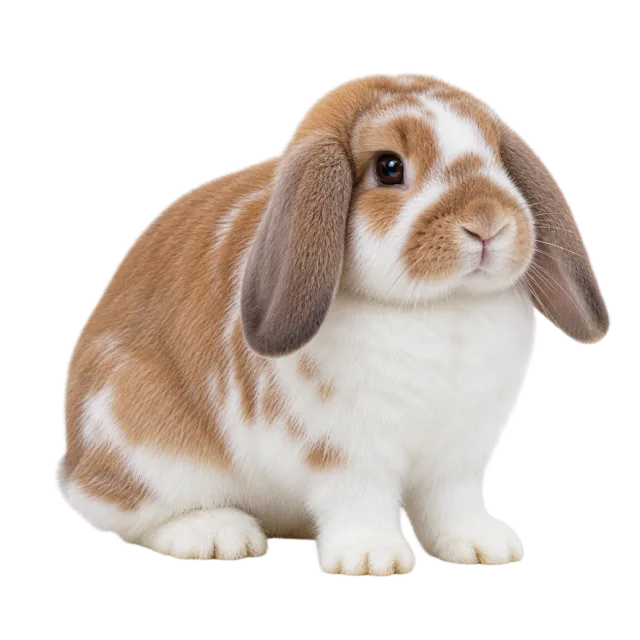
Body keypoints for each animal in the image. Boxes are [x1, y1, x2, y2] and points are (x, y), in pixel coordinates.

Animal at [56, 71, 609, 574]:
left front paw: (484, 548)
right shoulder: (347, 452)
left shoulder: (460, 455)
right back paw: (215, 536)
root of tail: (72, 460)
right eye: (389, 167)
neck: (442, 307)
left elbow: (452, 504)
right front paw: (372, 558)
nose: (487, 223)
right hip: (146, 448)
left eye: (497, 157)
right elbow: (360, 498)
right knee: (124, 510)